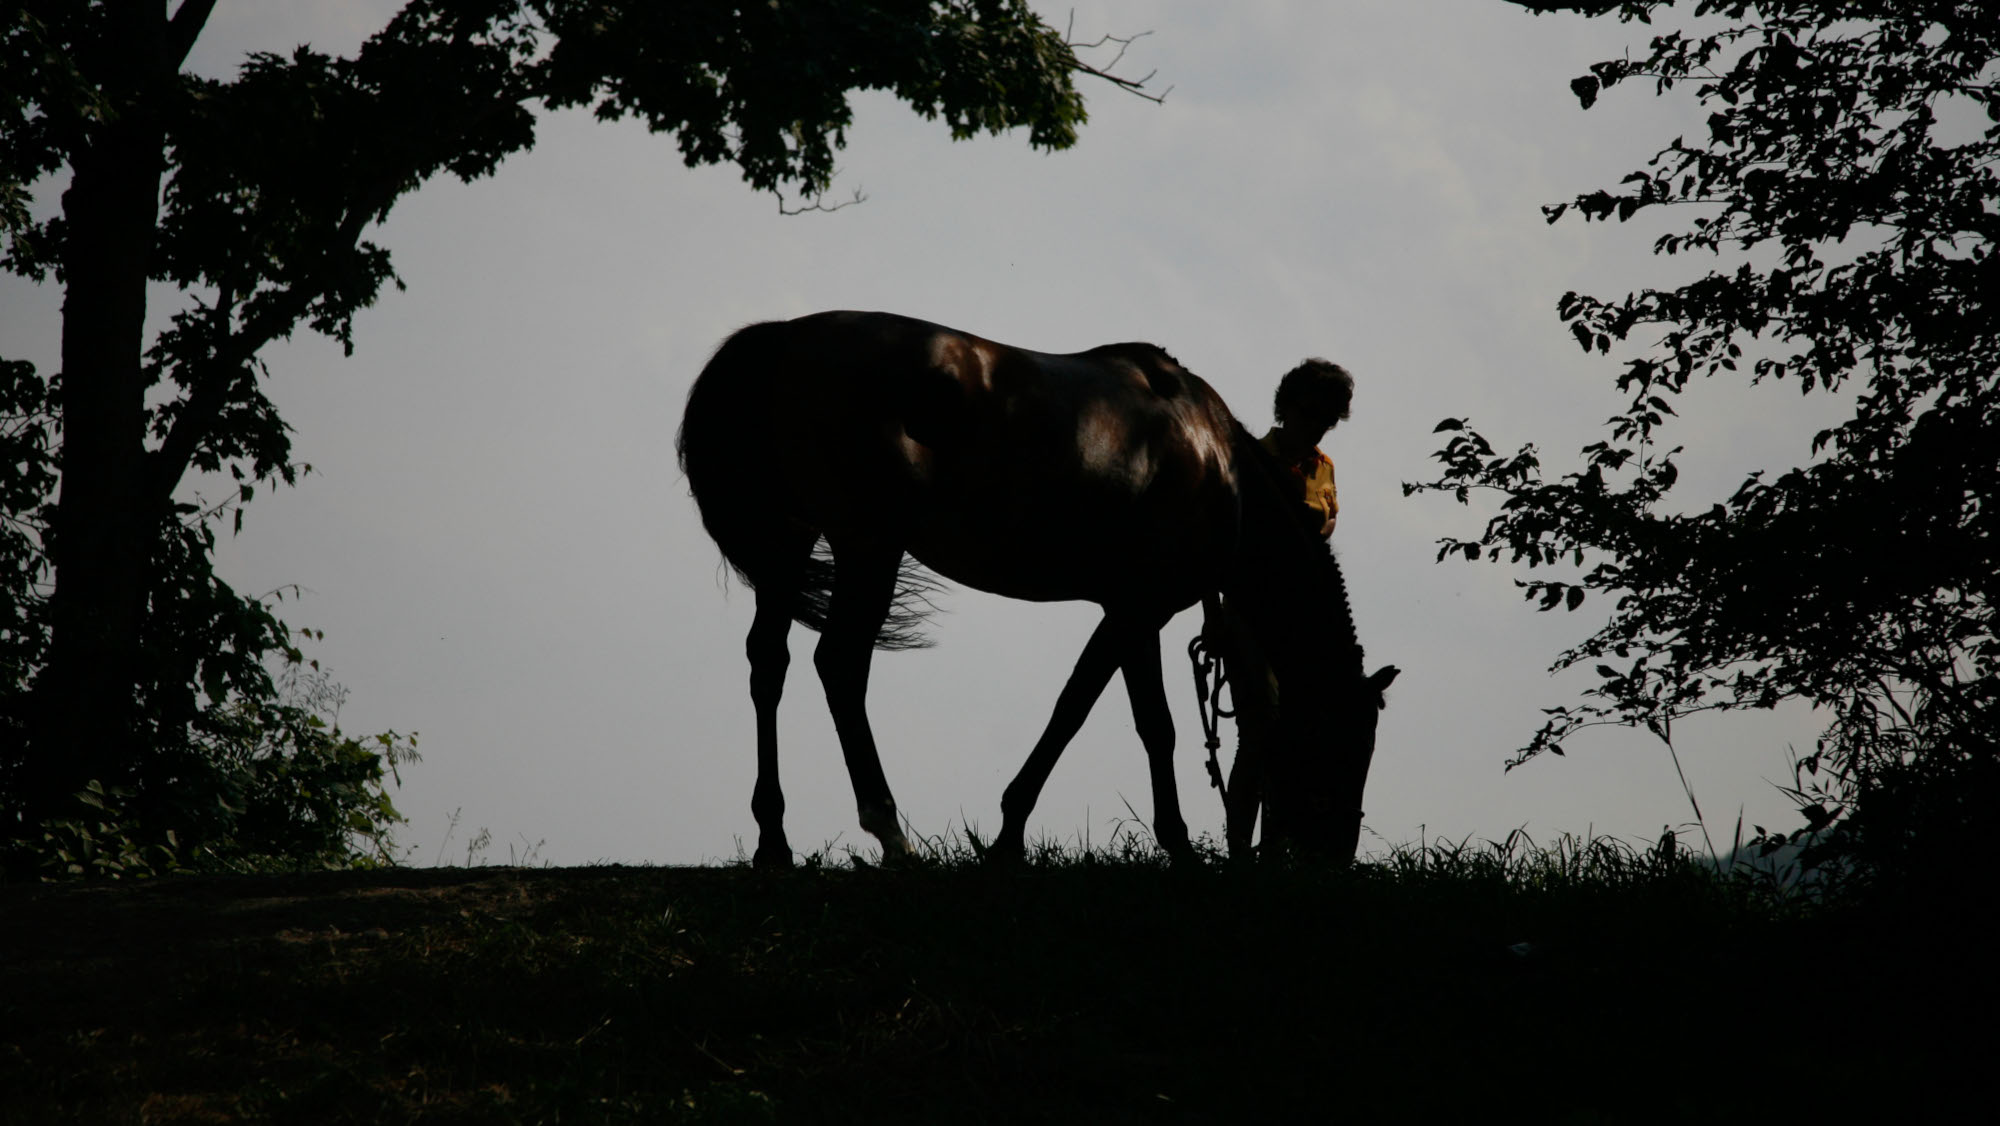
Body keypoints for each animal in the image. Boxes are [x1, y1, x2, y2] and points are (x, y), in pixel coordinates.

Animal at [676, 310, 1397, 866]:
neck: (1221, 466)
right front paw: (1179, 846)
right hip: (867, 545)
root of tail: (781, 341)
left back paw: (774, 842)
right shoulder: (1142, 609)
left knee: (769, 663)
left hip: (790, 541)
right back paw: (892, 835)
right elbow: (1151, 725)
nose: (1335, 858)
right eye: (1346, 741)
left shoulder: (1121, 610)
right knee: (841, 665)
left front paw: (1007, 836)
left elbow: (1071, 708)